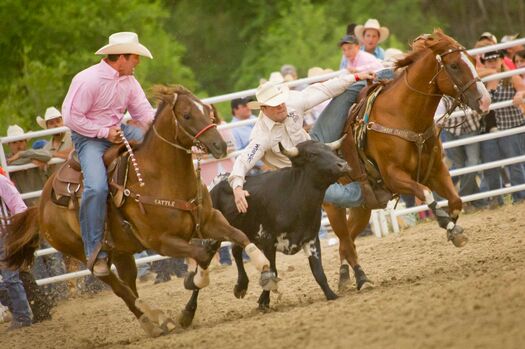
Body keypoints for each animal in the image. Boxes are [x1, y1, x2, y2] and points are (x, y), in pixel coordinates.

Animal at [2, 83, 274, 334]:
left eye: (207, 110)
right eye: (187, 115)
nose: (220, 145)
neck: (161, 179)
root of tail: (39, 205)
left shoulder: (209, 220)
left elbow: (238, 236)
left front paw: (263, 270)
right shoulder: (161, 242)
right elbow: (203, 254)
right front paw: (194, 282)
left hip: (122, 252)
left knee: (129, 283)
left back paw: (152, 322)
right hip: (83, 251)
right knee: (118, 287)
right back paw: (157, 318)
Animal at [326, 29, 490, 290]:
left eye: (474, 61)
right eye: (454, 65)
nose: (485, 101)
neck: (403, 115)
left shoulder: (436, 171)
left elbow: (455, 200)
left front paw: (452, 229)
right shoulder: (395, 177)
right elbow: (426, 194)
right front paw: (448, 226)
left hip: (363, 206)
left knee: (347, 240)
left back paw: (344, 277)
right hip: (333, 207)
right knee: (345, 240)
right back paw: (360, 280)